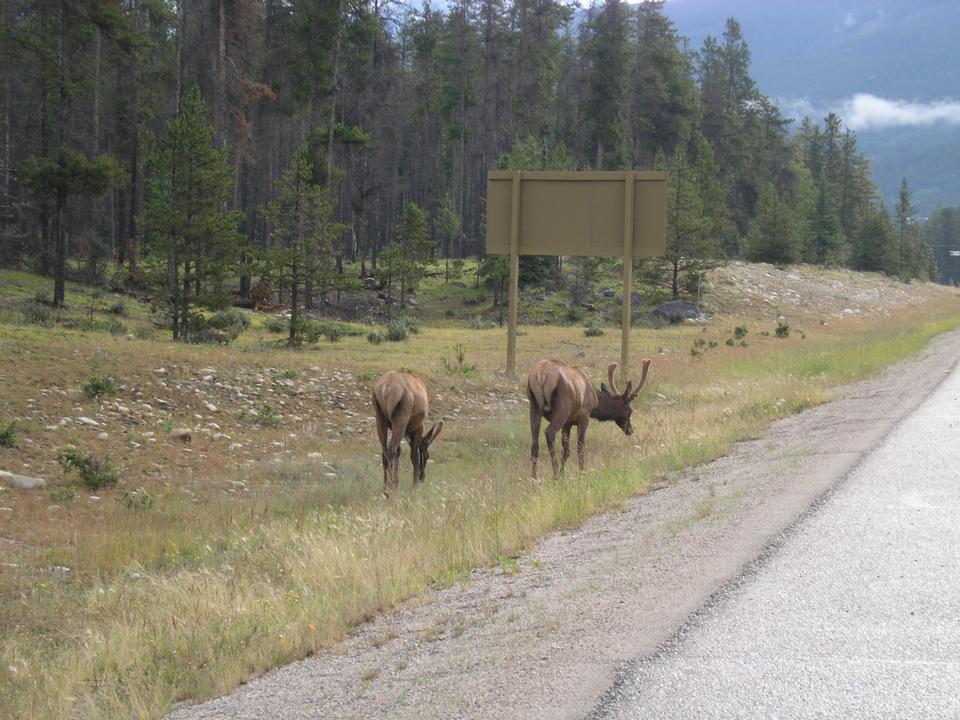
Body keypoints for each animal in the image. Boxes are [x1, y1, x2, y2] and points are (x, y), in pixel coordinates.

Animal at [524, 358, 652, 478]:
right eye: (630, 411)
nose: (630, 430)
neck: (596, 401)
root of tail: (541, 375)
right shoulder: (584, 416)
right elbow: (580, 448)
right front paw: (581, 473)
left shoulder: (568, 423)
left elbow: (566, 451)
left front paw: (563, 475)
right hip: (563, 409)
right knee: (549, 432)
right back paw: (554, 475)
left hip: (534, 407)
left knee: (534, 445)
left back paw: (534, 477)